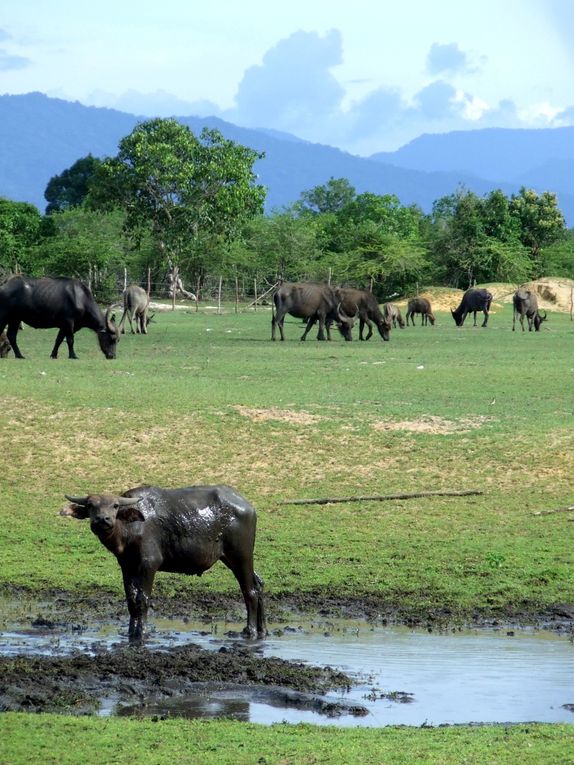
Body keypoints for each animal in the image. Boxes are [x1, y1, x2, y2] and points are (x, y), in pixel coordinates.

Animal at [59, 484, 266, 644]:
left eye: (115, 506)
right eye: (91, 505)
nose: (103, 519)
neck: (130, 529)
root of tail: (248, 507)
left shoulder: (149, 564)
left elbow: (142, 599)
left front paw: (142, 633)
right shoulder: (127, 566)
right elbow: (131, 600)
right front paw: (130, 632)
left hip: (241, 556)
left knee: (250, 591)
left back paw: (250, 631)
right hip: (233, 559)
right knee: (259, 584)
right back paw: (262, 629)